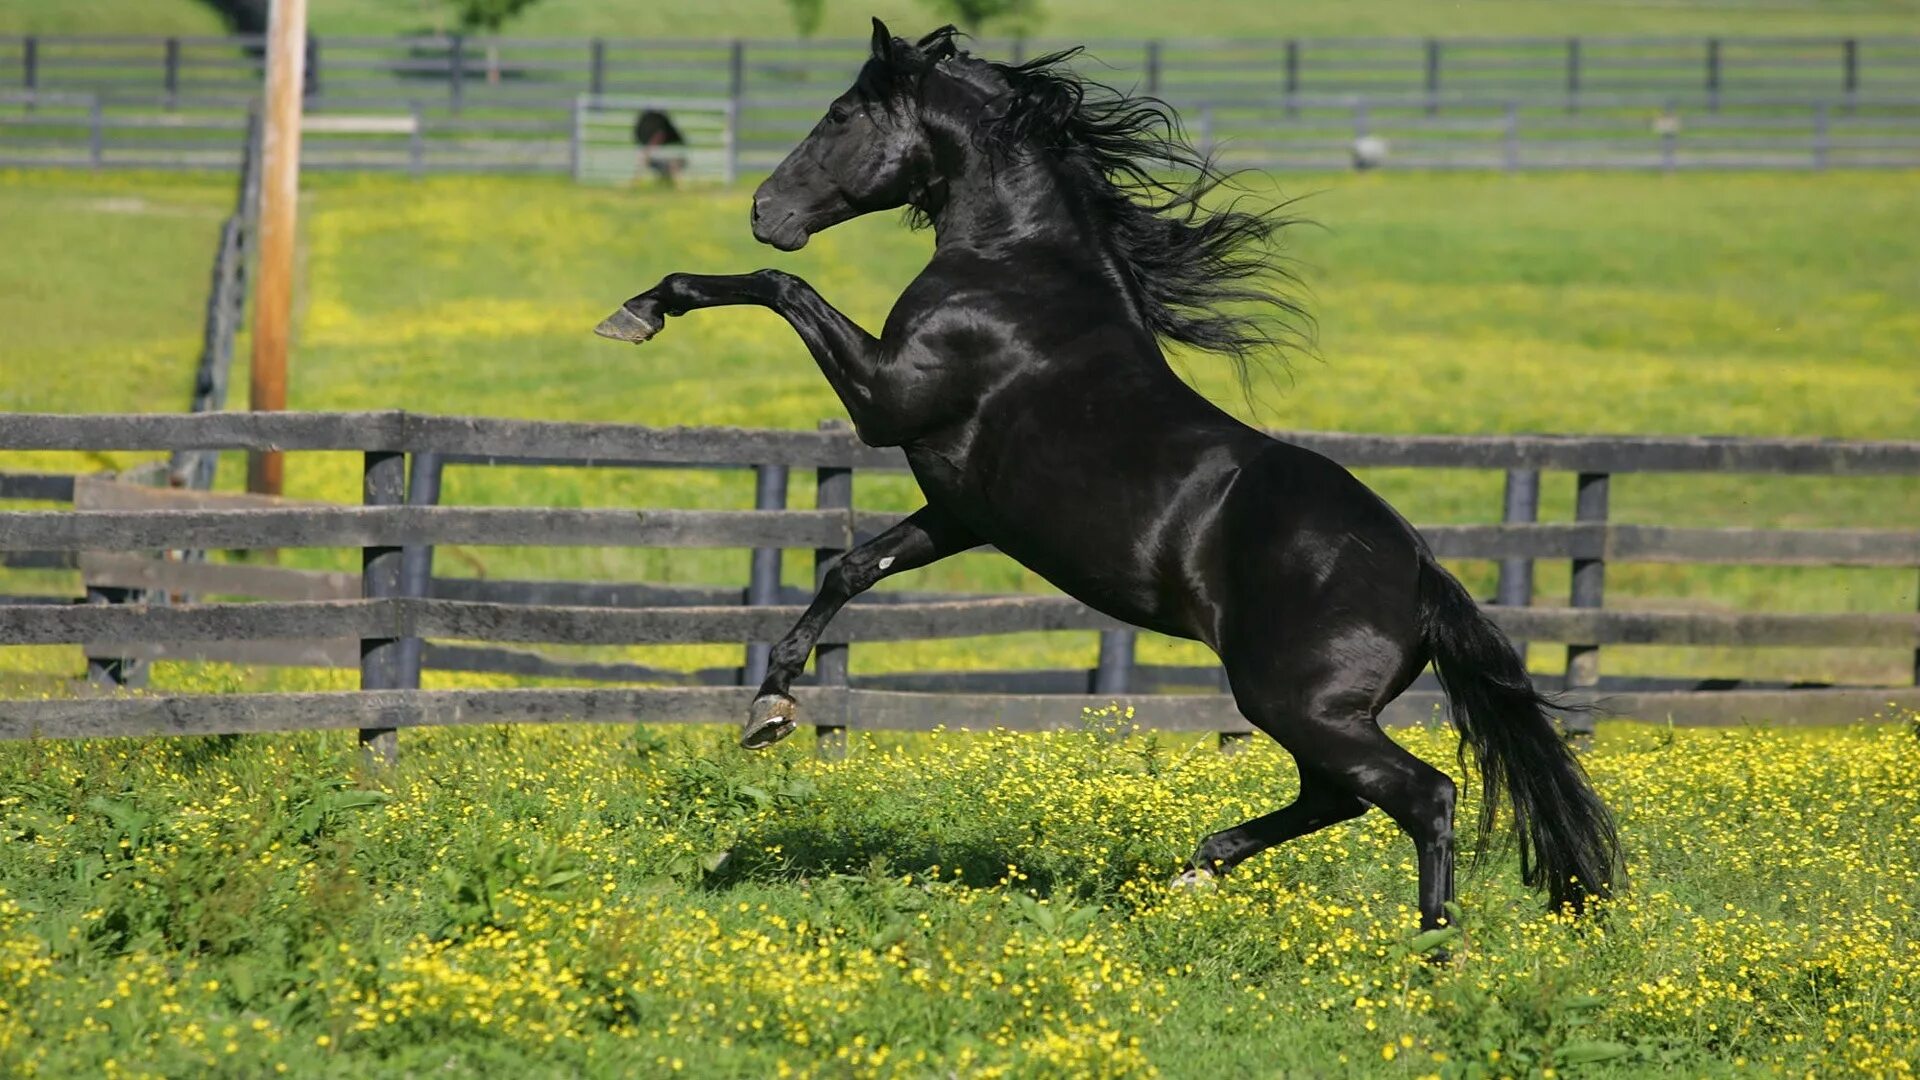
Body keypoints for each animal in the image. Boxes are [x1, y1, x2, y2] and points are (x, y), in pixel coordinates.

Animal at [595, 23, 1620, 926]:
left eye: (843, 112)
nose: (764, 211)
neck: (1017, 271)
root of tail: (1420, 573)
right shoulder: (960, 510)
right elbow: (851, 567)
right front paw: (769, 703)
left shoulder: (886, 400)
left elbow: (781, 291)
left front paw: (641, 309)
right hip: (1309, 712)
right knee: (1338, 798)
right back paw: (1201, 867)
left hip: (1299, 703)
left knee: (1423, 795)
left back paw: (1433, 953)